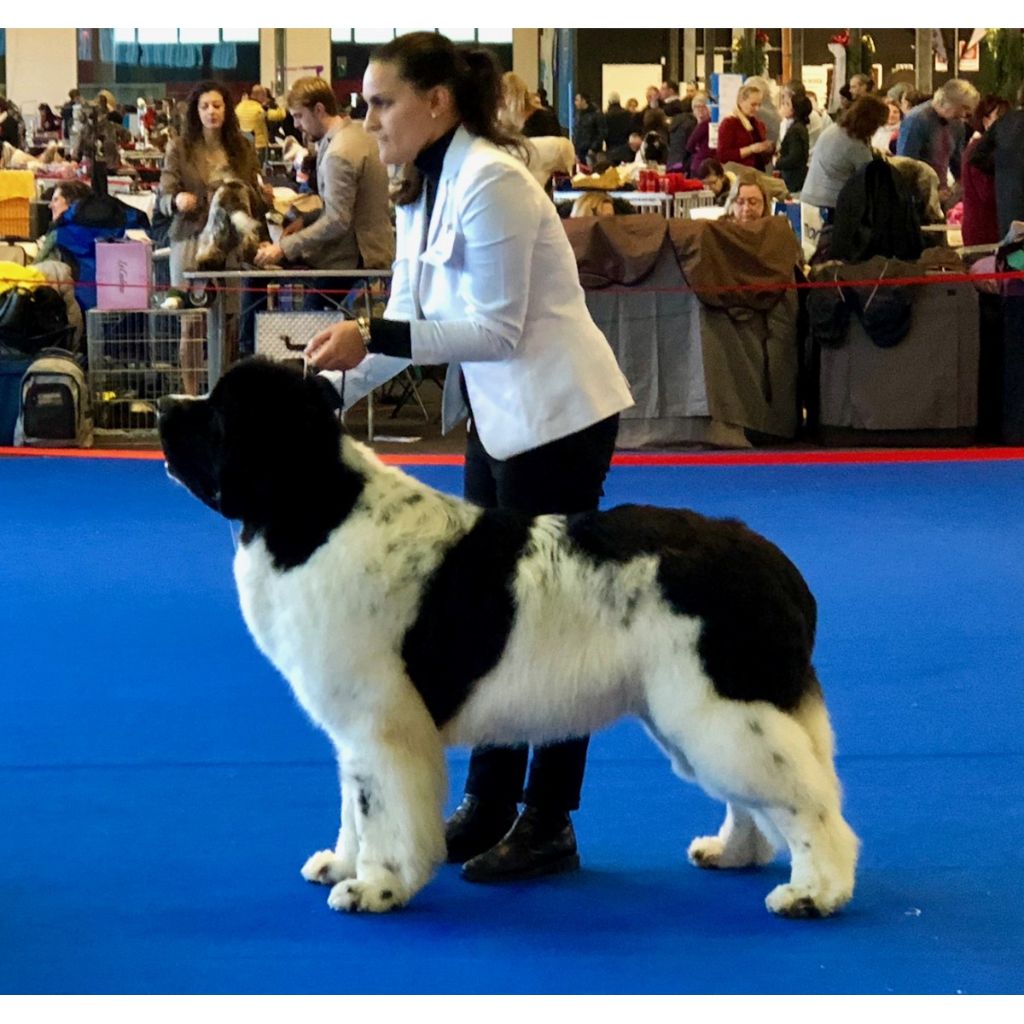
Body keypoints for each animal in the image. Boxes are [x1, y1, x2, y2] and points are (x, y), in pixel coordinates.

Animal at [159, 358, 859, 918]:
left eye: (220, 412)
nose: (164, 405)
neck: (313, 508)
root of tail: (771, 560)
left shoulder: (380, 723)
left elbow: (381, 810)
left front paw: (374, 889)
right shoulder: (353, 730)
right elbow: (353, 806)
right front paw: (341, 862)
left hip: (723, 708)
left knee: (810, 800)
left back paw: (815, 892)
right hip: (695, 713)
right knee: (756, 795)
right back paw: (733, 851)